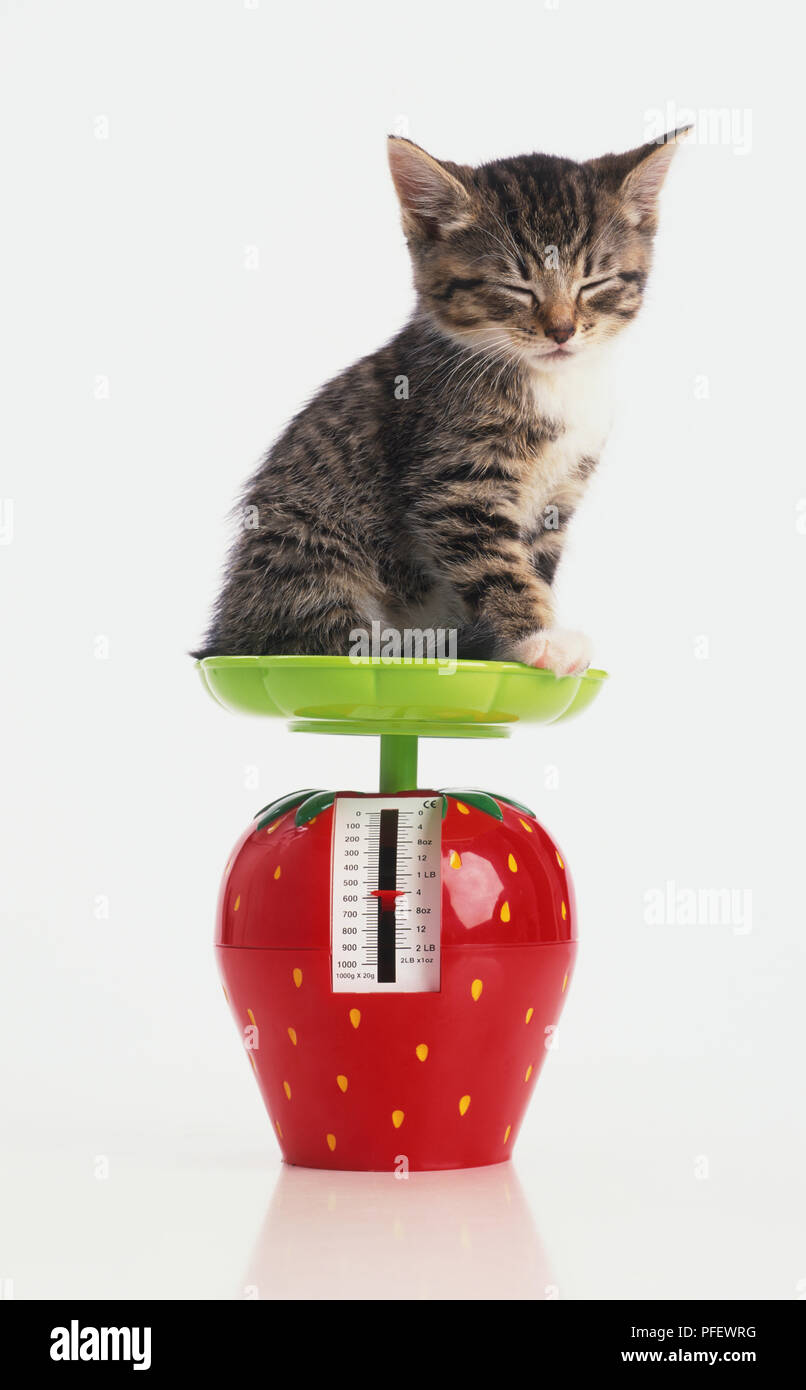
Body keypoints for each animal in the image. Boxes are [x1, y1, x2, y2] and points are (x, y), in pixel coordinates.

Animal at [193, 129, 686, 672]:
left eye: (594, 282)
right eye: (515, 286)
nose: (562, 330)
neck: (550, 381)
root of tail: (230, 635)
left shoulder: (560, 495)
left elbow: (535, 565)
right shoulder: (454, 482)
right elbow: (497, 564)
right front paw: (538, 638)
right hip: (311, 553)